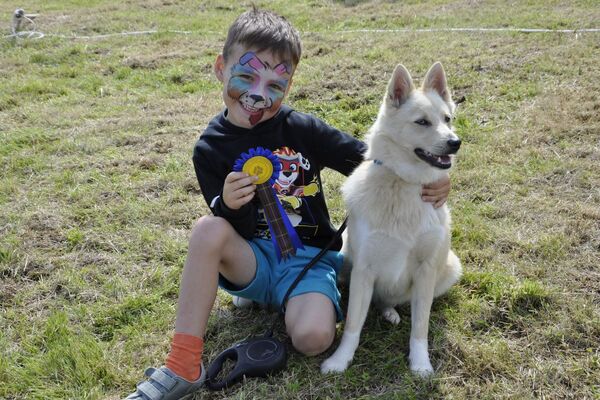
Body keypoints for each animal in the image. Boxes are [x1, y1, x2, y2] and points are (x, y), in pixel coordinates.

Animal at [322, 61, 462, 376]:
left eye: (447, 119)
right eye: (422, 122)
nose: (455, 142)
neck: (404, 184)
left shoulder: (426, 270)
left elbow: (420, 328)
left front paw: (420, 364)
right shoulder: (363, 269)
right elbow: (352, 325)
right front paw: (340, 360)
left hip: (450, 267)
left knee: (390, 302)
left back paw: (390, 313)